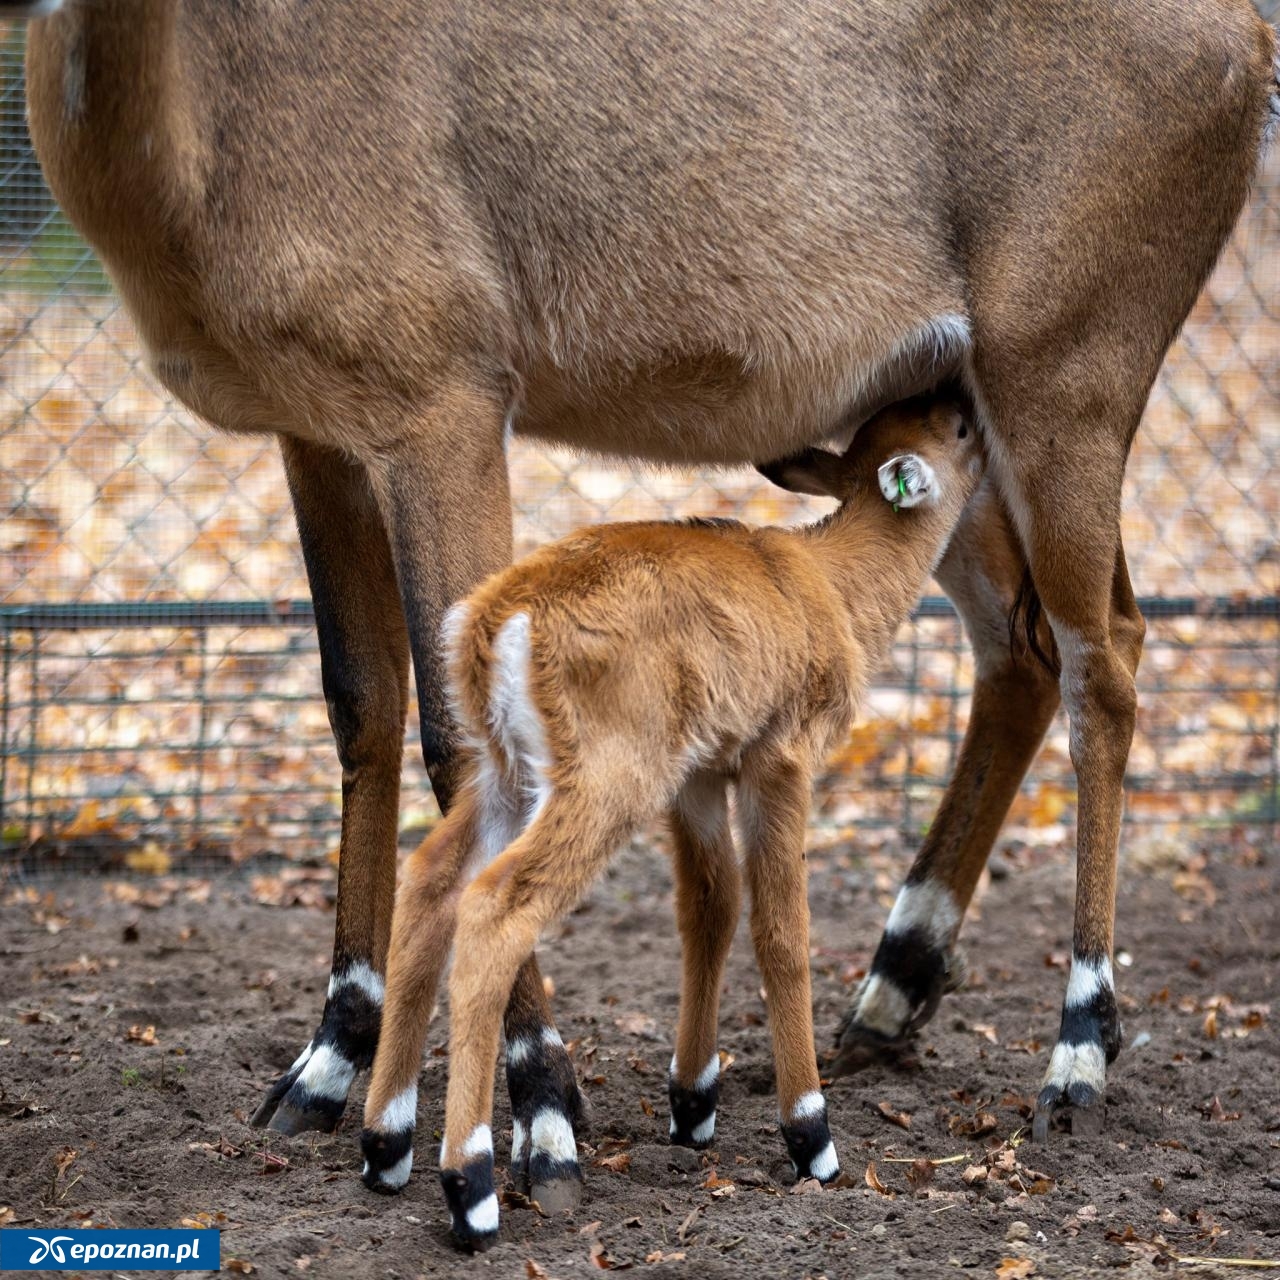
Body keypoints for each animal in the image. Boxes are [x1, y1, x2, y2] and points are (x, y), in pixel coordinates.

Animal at [360, 394, 977, 1244]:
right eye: (955, 431)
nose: (964, 403)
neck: (829, 584)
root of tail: (497, 621)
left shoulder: (702, 773)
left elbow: (709, 911)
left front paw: (693, 1106)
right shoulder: (780, 758)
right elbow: (781, 930)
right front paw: (811, 1136)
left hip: (504, 775)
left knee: (429, 883)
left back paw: (385, 1147)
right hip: (603, 781)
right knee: (493, 907)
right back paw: (472, 1186)